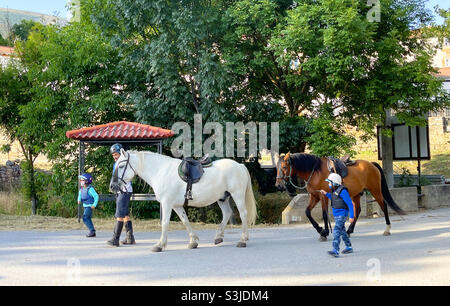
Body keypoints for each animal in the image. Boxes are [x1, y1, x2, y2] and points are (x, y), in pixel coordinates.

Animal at [110, 149, 258, 252]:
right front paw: (193, 241)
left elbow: (165, 223)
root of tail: (240, 165)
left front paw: (160, 245)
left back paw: (242, 240)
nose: (113, 186)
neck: (160, 171)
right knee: (227, 213)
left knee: (243, 214)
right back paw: (218, 237)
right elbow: (185, 220)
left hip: (237, 195)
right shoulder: (176, 205)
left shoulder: (167, 204)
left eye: (121, 166)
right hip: (222, 198)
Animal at [276, 153, 406, 241]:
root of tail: (371, 164)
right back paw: (349, 230)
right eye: (277, 168)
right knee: (357, 210)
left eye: (284, 167)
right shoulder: (314, 196)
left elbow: (324, 214)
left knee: (383, 206)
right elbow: (307, 212)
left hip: (375, 190)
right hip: (355, 194)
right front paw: (320, 230)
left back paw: (387, 229)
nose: (278, 185)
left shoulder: (323, 196)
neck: (315, 171)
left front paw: (324, 232)